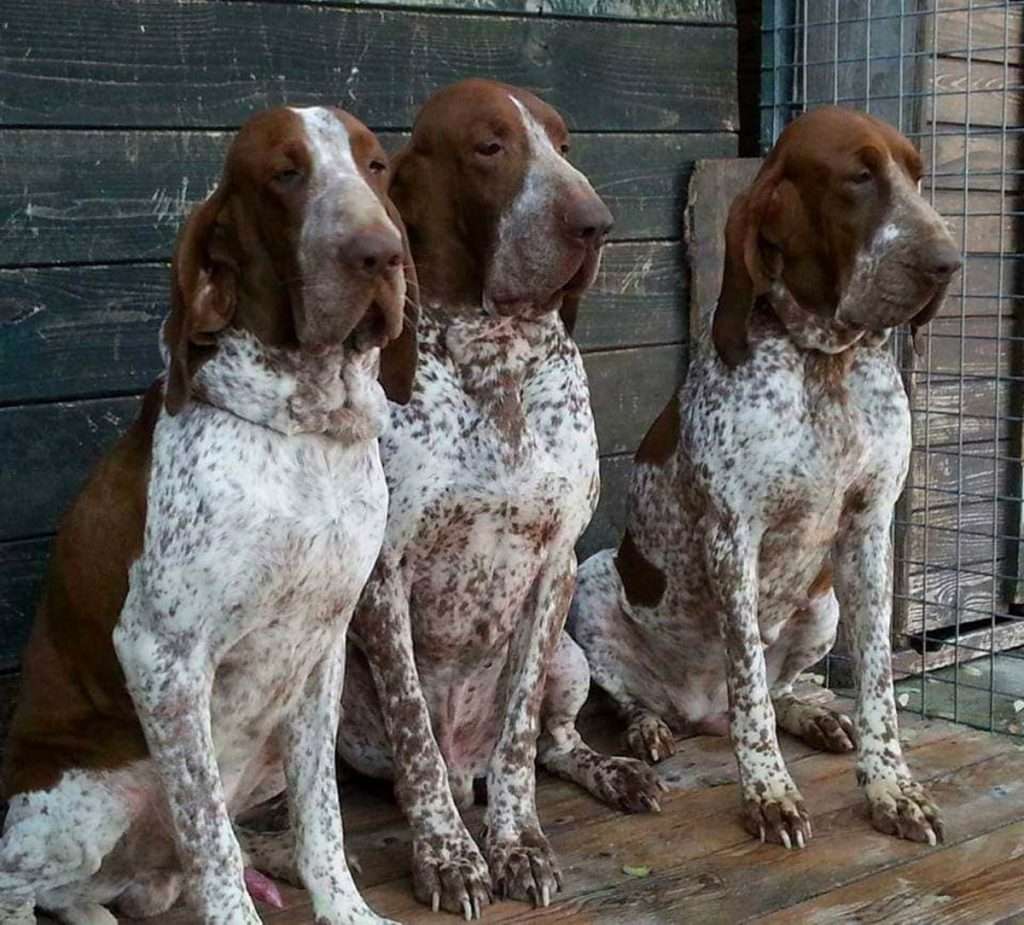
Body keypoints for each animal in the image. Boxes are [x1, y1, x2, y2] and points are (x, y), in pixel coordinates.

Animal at [1, 104, 415, 921]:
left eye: (376, 166)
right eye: (284, 173)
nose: (380, 254)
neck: (305, 433)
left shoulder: (322, 647)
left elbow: (322, 819)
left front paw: (344, 906)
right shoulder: (163, 656)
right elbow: (208, 835)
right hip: (87, 799)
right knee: (24, 885)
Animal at [569, 106, 958, 848]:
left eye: (918, 176)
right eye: (859, 177)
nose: (949, 262)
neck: (822, 361)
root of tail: (700, 711)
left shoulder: (869, 529)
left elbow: (877, 683)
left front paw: (891, 787)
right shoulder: (733, 537)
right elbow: (747, 680)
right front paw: (768, 792)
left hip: (824, 601)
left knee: (782, 694)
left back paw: (816, 715)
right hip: (594, 580)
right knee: (652, 700)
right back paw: (649, 728)